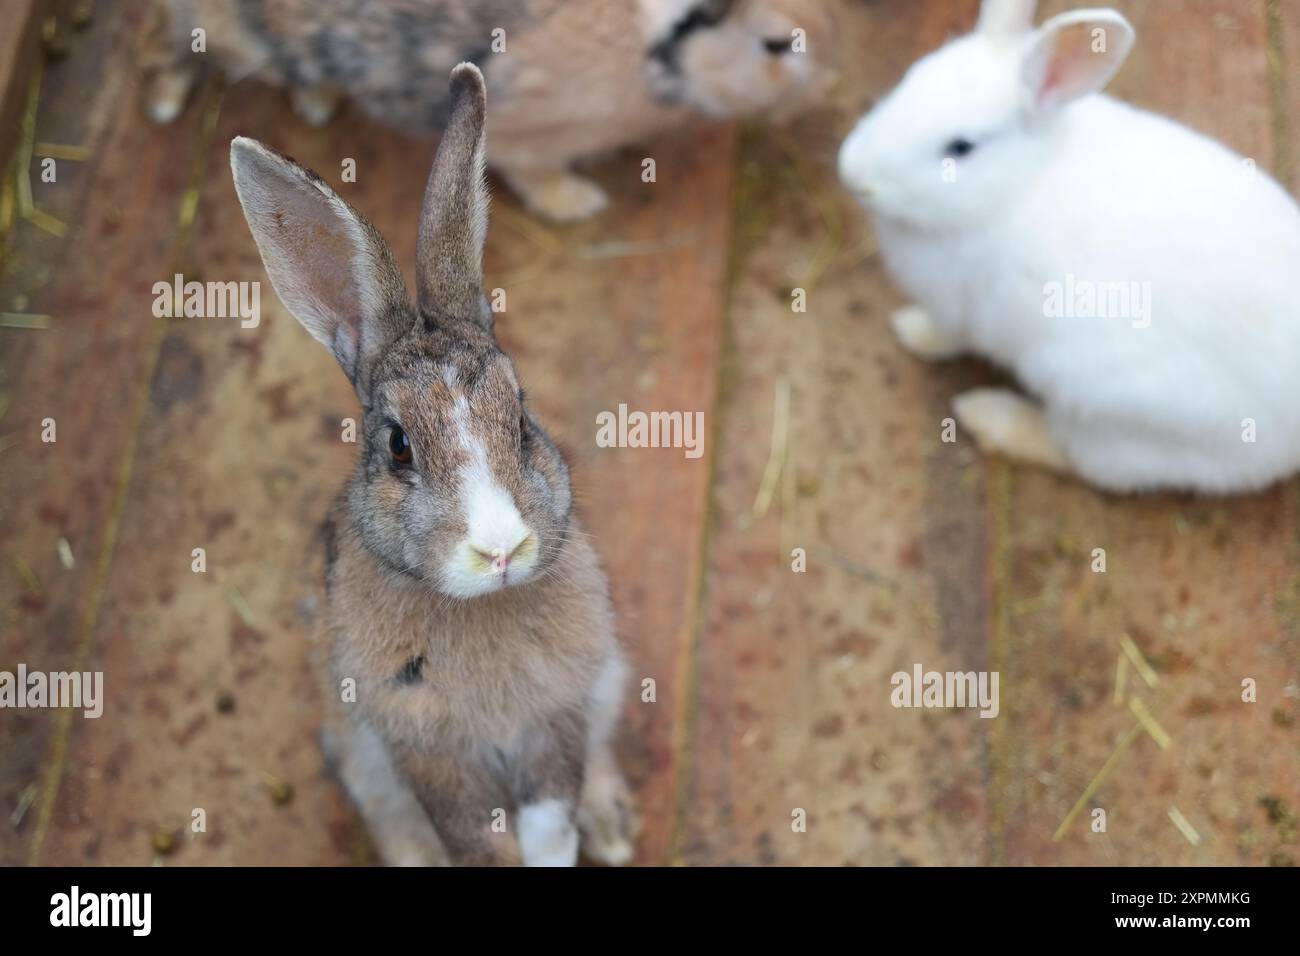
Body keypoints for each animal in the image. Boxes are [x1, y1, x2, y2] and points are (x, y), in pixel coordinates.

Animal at [230, 63, 637, 865]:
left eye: (521, 418)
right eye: (398, 446)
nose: (501, 550)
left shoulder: (557, 723)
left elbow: (551, 823)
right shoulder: (428, 757)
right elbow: (478, 842)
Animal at [837, 0, 1300, 495]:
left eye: (961, 147)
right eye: (908, 78)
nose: (853, 174)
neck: (1020, 183)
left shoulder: (961, 311)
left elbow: (948, 335)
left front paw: (912, 331)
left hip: (1113, 418)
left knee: (1079, 459)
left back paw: (988, 415)